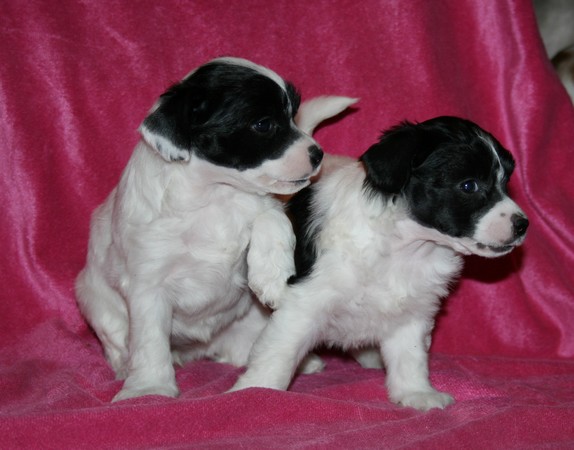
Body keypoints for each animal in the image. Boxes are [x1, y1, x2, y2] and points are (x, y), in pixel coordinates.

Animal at [75, 56, 356, 401]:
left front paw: (272, 278)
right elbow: (149, 340)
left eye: (293, 115)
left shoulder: (267, 205)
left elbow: (271, 219)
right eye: (263, 124)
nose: (318, 154)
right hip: (92, 299)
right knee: (117, 339)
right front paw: (148, 388)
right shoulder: (147, 283)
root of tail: (203, 347)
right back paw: (126, 367)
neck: (214, 195)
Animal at [230, 116, 529, 411]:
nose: (523, 224)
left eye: (506, 182)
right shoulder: (303, 303)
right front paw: (255, 393)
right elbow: (279, 352)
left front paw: (416, 393)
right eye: (469, 186)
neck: (405, 247)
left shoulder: (413, 312)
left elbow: (410, 357)